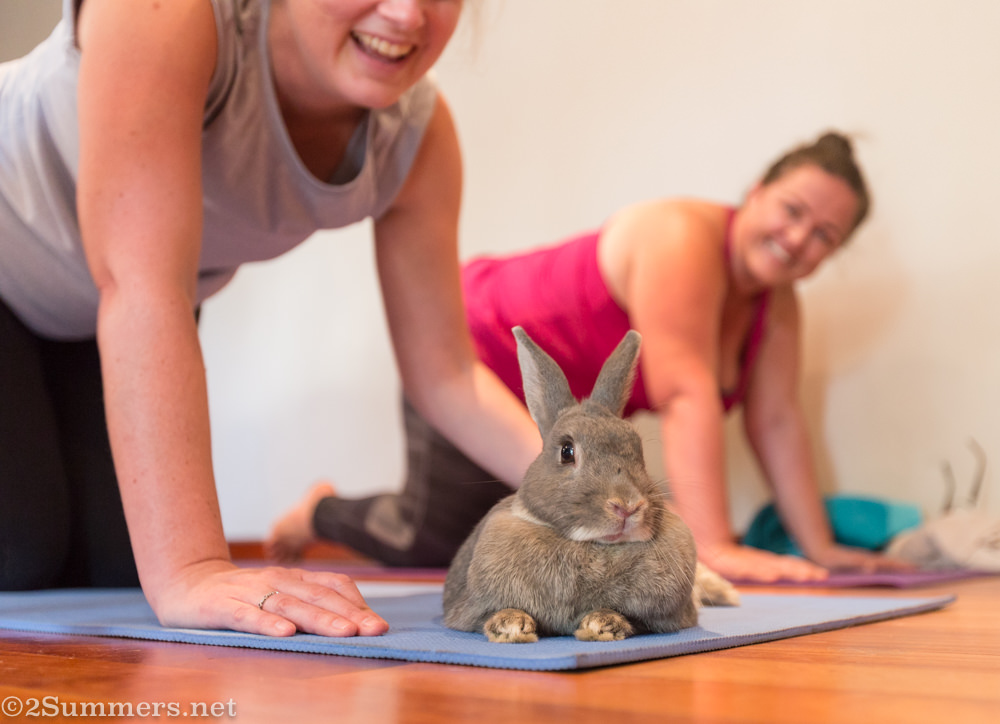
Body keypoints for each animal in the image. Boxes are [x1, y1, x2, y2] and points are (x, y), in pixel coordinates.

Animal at [443, 326, 738, 644]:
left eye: (639, 451)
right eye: (566, 451)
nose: (627, 506)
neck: (590, 545)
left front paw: (602, 624)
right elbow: (495, 613)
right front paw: (511, 625)